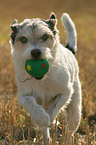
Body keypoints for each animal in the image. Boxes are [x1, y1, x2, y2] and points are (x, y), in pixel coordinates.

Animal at [9, 13, 82, 144]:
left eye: (44, 36)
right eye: (23, 39)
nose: (36, 52)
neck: (42, 79)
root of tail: (70, 50)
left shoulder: (66, 92)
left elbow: (56, 106)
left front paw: (50, 118)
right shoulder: (23, 95)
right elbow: (30, 103)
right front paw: (42, 118)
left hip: (75, 110)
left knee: (70, 131)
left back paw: (67, 140)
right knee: (45, 131)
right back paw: (46, 138)